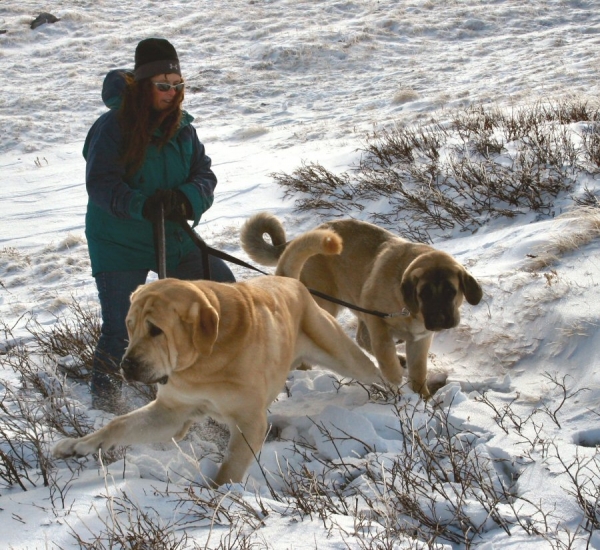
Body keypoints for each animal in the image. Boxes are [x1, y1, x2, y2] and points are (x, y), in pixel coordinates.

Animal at [55, 232, 384, 488]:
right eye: (129, 325)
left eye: (156, 330)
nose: (127, 365)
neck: (202, 363)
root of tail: (287, 280)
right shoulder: (171, 413)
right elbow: (119, 424)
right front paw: (78, 445)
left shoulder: (250, 422)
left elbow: (230, 468)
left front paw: (219, 496)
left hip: (342, 353)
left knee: (376, 370)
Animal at [241, 213, 480, 398]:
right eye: (425, 294)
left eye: (451, 291)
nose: (440, 319)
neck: (410, 311)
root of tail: (298, 239)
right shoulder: (377, 320)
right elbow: (384, 353)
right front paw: (397, 383)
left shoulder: (420, 340)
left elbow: (418, 371)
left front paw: (423, 400)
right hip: (326, 303)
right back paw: (305, 373)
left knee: (362, 338)